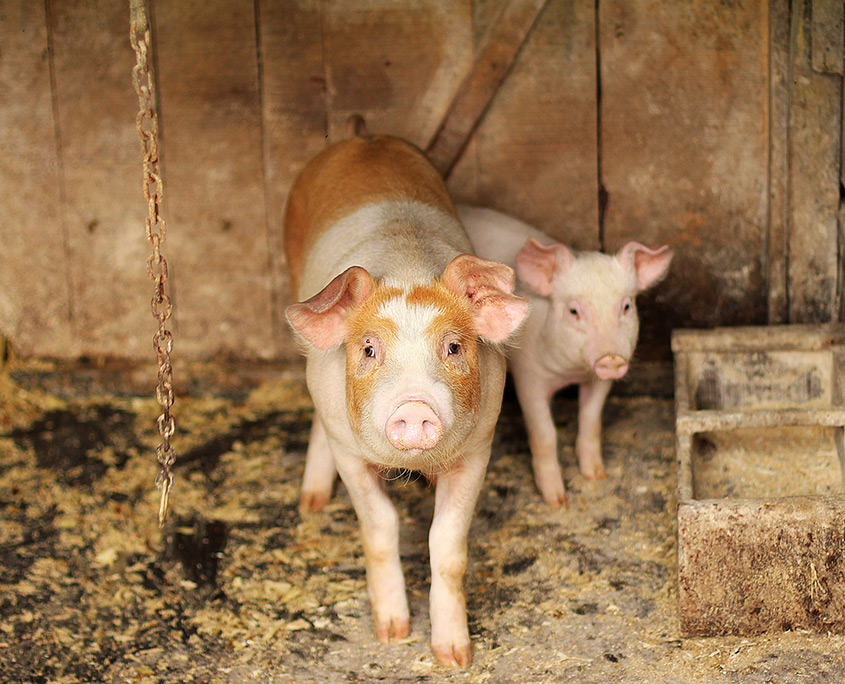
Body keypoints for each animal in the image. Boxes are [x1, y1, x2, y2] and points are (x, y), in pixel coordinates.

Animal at [284, 135, 528, 668]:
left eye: (453, 347)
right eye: (369, 349)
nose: (414, 406)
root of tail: (363, 137)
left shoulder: (479, 447)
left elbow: (448, 546)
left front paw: (455, 657)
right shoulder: (349, 452)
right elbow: (381, 529)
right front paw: (392, 635)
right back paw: (311, 503)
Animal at [458, 206, 668, 504]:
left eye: (626, 306)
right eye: (574, 311)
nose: (611, 358)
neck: (571, 373)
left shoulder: (599, 381)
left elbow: (591, 420)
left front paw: (597, 476)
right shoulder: (528, 377)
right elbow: (545, 433)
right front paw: (557, 500)